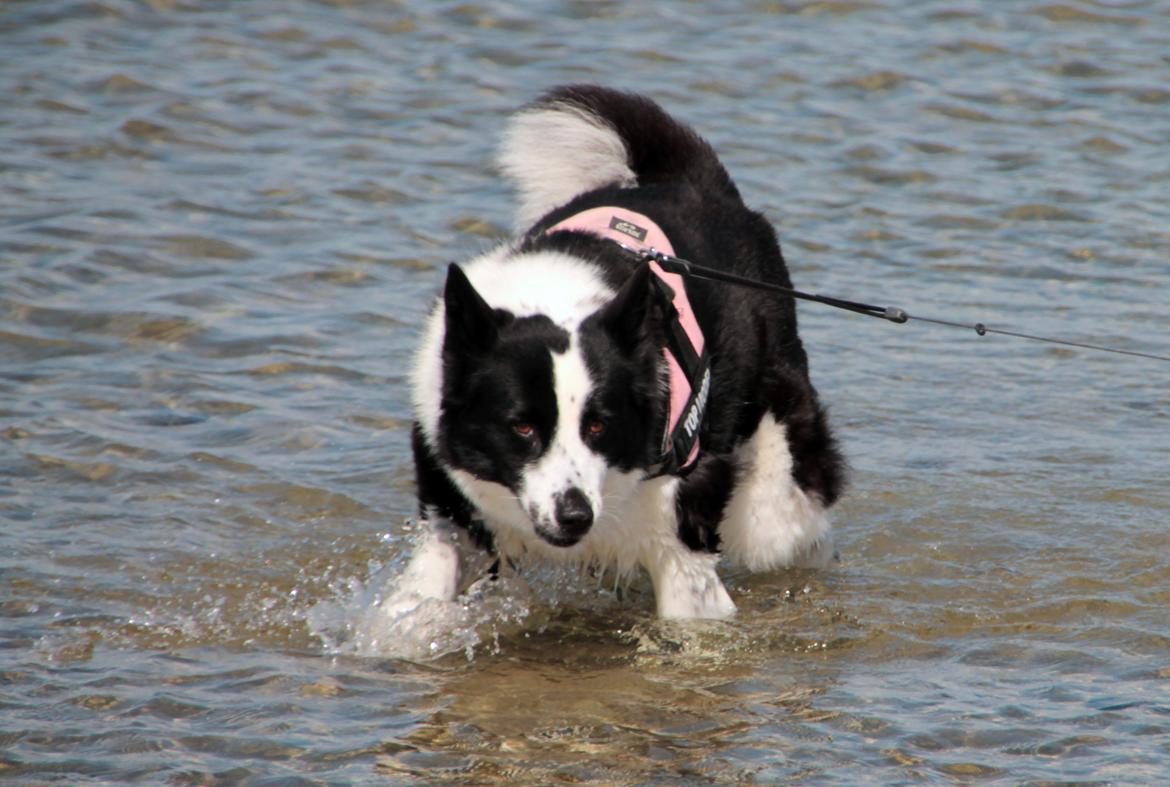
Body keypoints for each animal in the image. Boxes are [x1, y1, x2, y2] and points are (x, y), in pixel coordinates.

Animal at [397, 84, 847, 622]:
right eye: (521, 427)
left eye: (598, 426)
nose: (574, 515)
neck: (553, 296)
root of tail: (692, 179)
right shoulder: (451, 515)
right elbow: (410, 608)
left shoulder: (680, 540)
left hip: (773, 481)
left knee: (791, 527)